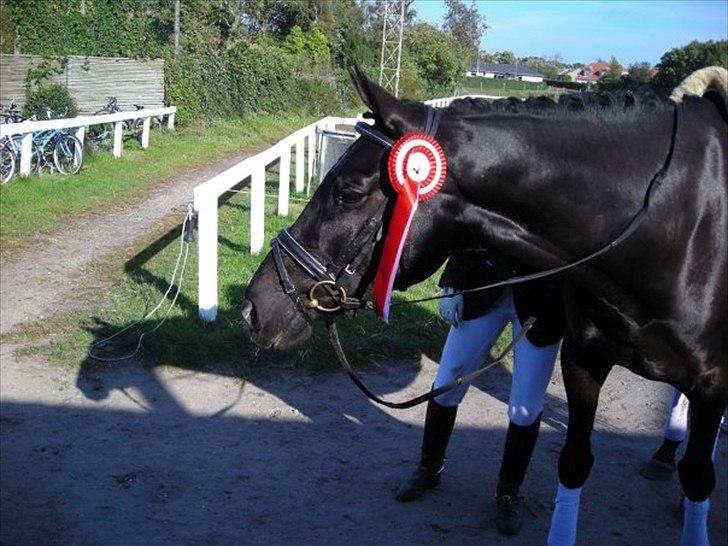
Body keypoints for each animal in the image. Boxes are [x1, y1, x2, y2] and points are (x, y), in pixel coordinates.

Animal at [246, 66, 728, 540]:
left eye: (348, 192)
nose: (254, 306)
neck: (672, 224)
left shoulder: (712, 386)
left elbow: (699, 476)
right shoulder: (583, 361)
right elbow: (574, 463)